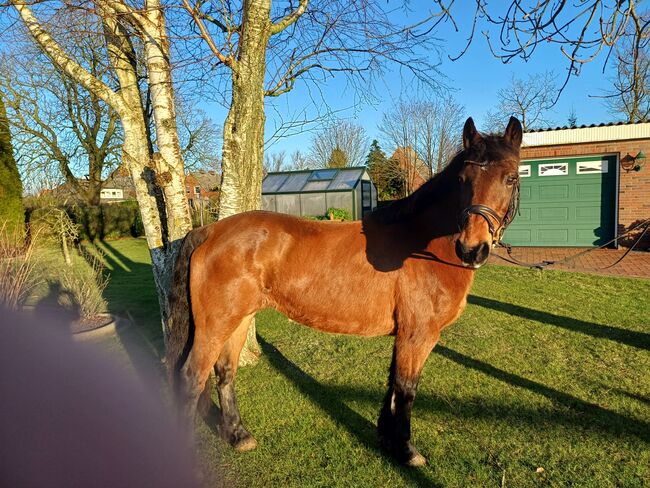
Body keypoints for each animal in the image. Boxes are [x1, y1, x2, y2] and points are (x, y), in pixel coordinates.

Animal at [167, 116, 520, 468]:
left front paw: (387, 439)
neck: (422, 245)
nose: (472, 249)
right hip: (215, 325)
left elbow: (393, 386)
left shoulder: (405, 335)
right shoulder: (418, 335)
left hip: (239, 319)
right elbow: (406, 389)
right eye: (462, 179)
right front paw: (407, 450)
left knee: (225, 372)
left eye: (511, 178)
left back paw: (238, 436)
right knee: (191, 378)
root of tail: (210, 230)